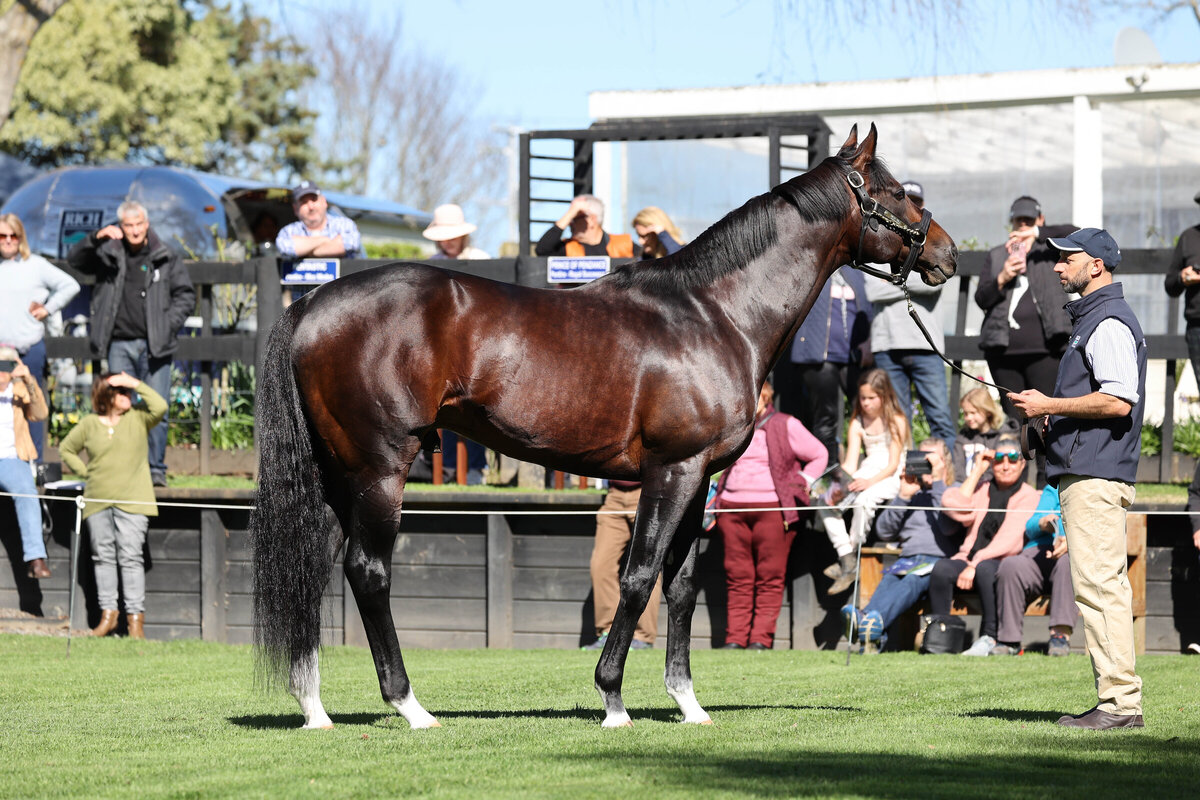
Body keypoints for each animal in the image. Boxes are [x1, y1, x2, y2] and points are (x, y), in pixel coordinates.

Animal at [250, 124, 958, 730]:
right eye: (897, 192)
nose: (947, 254)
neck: (714, 313)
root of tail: (311, 302)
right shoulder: (672, 470)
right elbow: (640, 575)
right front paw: (613, 698)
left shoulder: (700, 479)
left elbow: (680, 586)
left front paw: (688, 703)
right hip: (380, 469)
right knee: (368, 571)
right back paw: (410, 705)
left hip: (336, 474)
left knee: (314, 573)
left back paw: (314, 708)